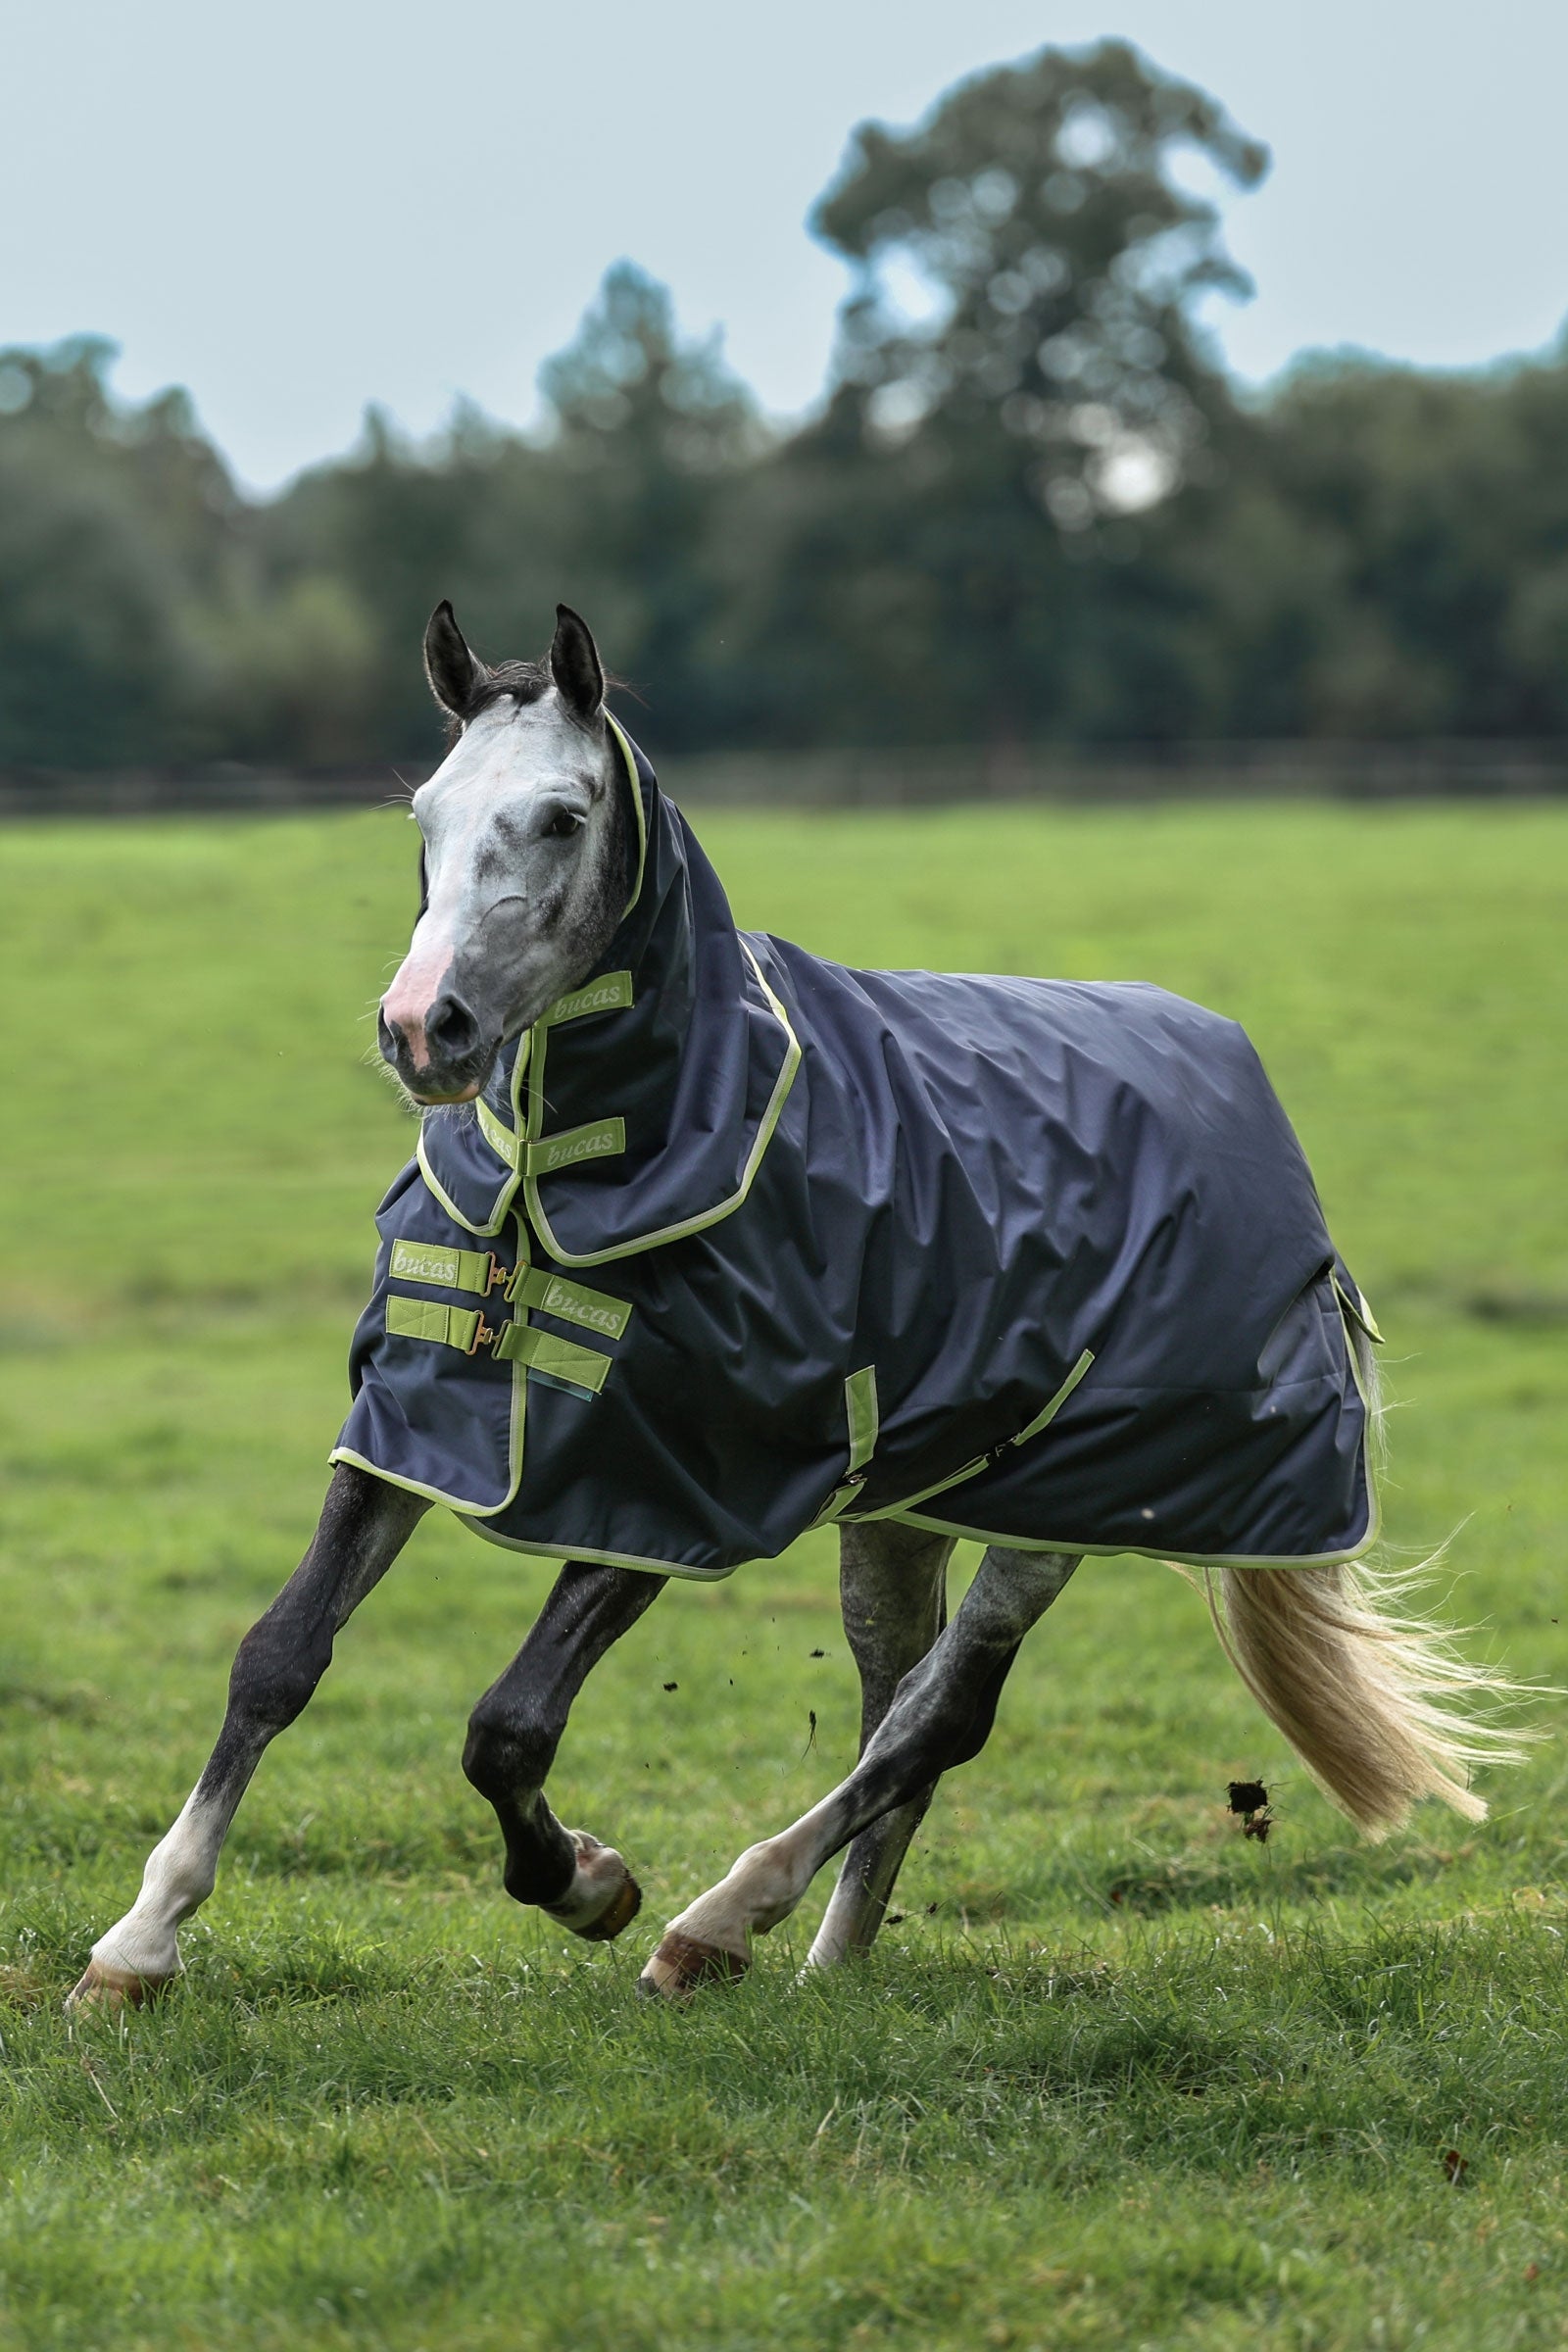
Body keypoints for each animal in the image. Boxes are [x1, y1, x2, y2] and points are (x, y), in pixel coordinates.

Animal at [69, 602, 1517, 2011]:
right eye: (424, 812)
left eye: (562, 818)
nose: (426, 1030)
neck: (601, 1163)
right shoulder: (417, 1430)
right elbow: (278, 1656)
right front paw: (137, 1947)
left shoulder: (672, 1484)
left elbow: (507, 1728)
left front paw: (590, 1882)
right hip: (903, 1505)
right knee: (897, 1703)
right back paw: (828, 1963)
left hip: (1059, 1508)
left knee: (938, 1718)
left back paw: (716, 1926)